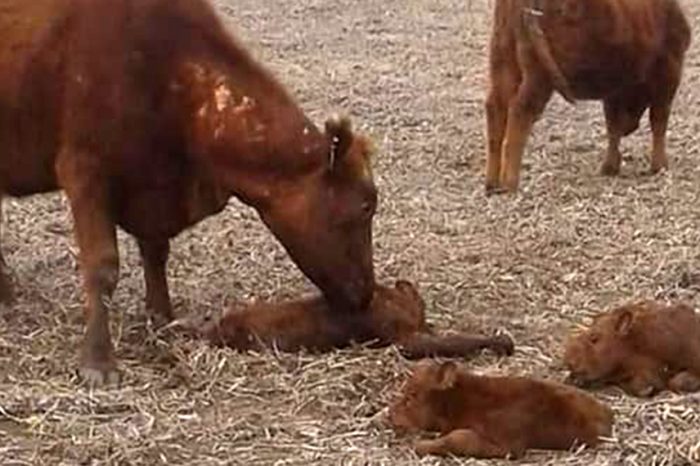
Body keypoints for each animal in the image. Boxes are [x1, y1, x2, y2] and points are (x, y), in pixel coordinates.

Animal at [0, 0, 378, 385]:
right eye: (365, 206)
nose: (367, 293)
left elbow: (156, 252)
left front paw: (162, 318)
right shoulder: (85, 169)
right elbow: (103, 267)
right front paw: (98, 360)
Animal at [388, 361, 613, 459]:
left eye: (412, 396)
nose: (390, 414)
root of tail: (607, 412)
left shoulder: (508, 445)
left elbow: (458, 438)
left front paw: (421, 445)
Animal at [485, 0, 691, 193]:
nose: (630, 127)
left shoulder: (614, 88)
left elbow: (612, 125)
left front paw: (610, 166)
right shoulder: (669, 71)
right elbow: (659, 120)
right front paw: (659, 166)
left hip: (503, 58)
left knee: (495, 107)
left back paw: (492, 183)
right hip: (538, 74)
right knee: (520, 110)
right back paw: (510, 183)